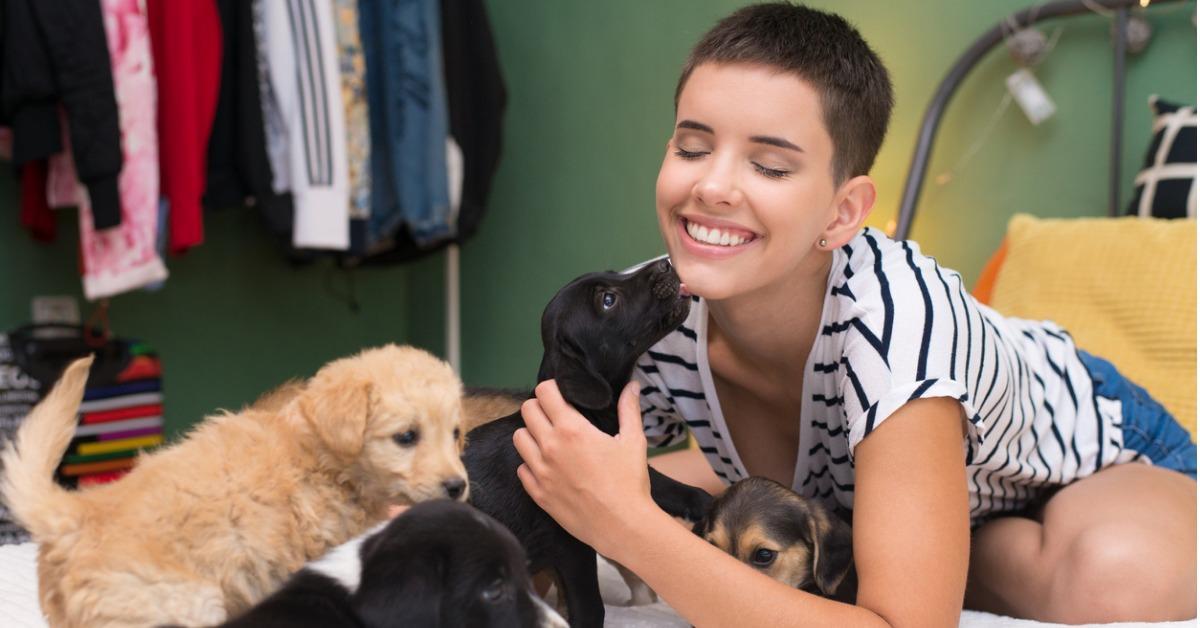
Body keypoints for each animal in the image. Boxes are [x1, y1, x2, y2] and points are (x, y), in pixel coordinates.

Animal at [0, 343, 468, 628]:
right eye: (406, 437)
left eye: (457, 434)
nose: (457, 486)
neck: (320, 456)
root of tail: (76, 513)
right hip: (178, 604)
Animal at [463, 258, 710, 624]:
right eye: (608, 300)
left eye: (614, 274)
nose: (666, 263)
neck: (583, 410)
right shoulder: (571, 545)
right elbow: (590, 603)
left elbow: (661, 483)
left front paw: (703, 502)